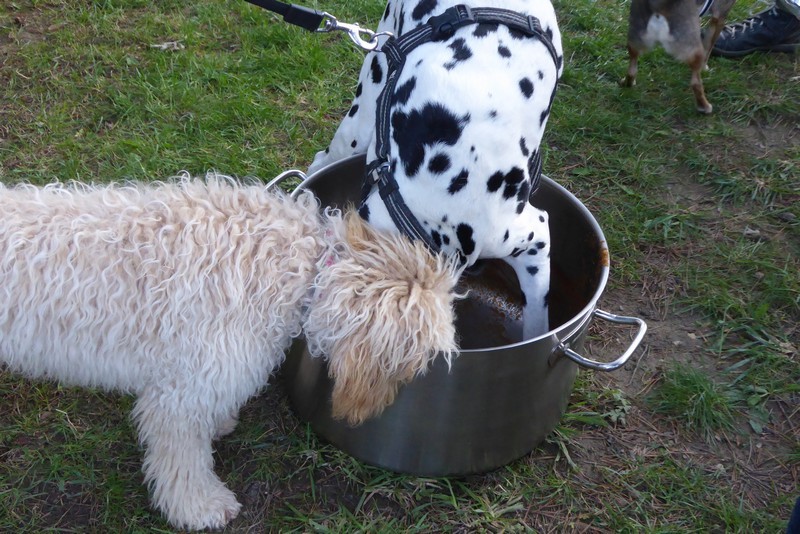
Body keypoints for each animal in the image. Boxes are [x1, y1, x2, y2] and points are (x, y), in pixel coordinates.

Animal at [0, 176, 460, 532]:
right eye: (421, 358)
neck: (305, 268)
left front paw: (220, 424)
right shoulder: (180, 396)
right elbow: (184, 463)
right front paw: (199, 508)